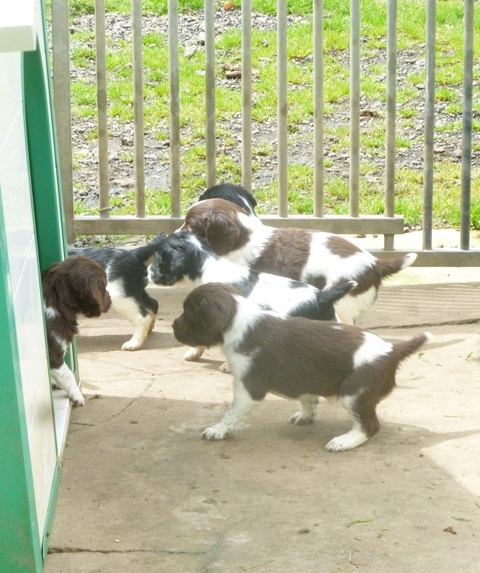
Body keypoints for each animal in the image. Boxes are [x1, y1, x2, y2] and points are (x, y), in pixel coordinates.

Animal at [42, 255, 111, 406]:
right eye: (104, 284)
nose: (111, 298)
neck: (58, 300)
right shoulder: (53, 353)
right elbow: (67, 374)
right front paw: (77, 396)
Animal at [172, 282, 432, 452]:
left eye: (188, 313)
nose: (173, 326)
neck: (240, 320)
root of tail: (392, 350)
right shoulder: (303, 377)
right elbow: (308, 398)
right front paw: (306, 416)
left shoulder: (248, 386)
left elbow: (231, 412)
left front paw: (218, 430)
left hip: (355, 393)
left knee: (369, 426)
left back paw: (344, 441)